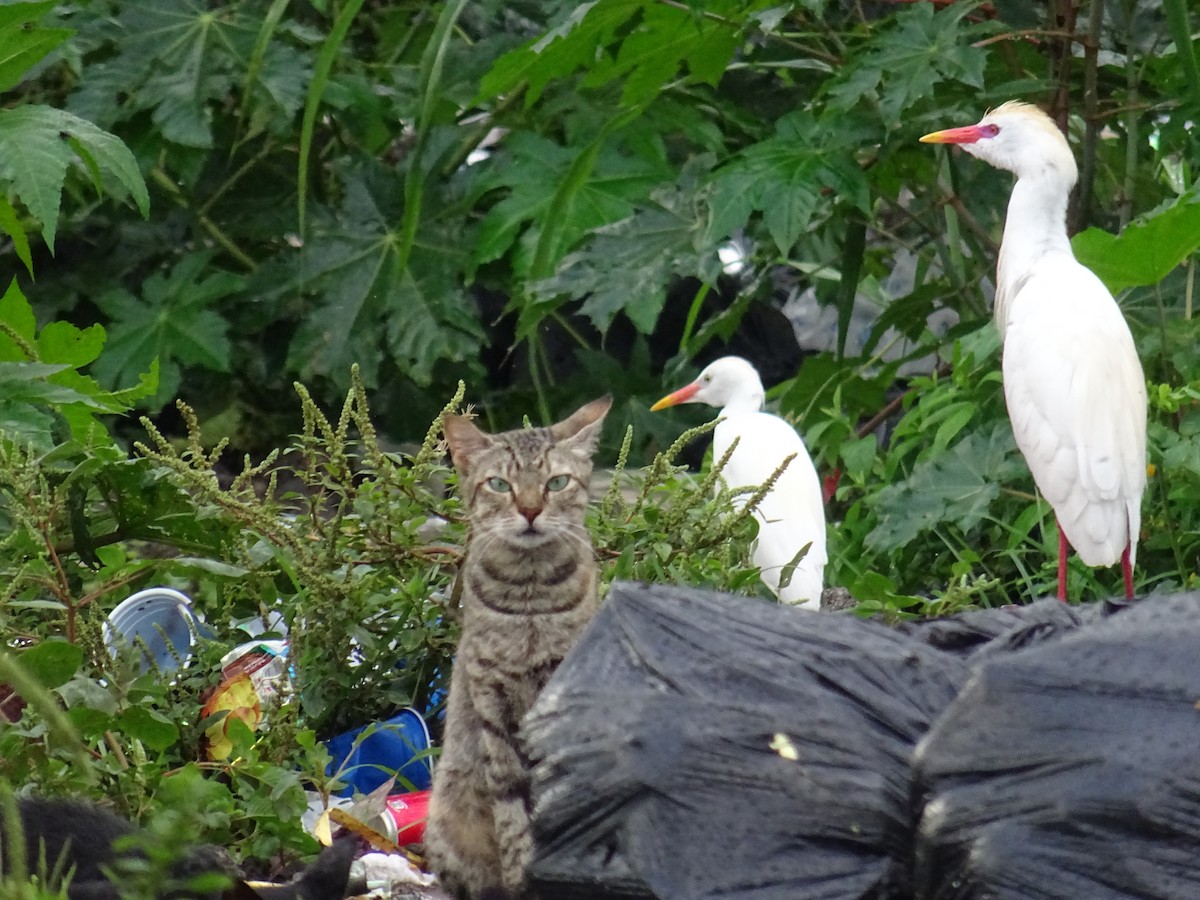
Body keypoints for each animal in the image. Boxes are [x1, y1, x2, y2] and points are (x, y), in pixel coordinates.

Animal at [424, 398, 609, 900]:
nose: (529, 509)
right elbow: (512, 809)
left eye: (556, 482)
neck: (529, 595)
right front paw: (521, 875)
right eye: (499, 484)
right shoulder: (492, 700)